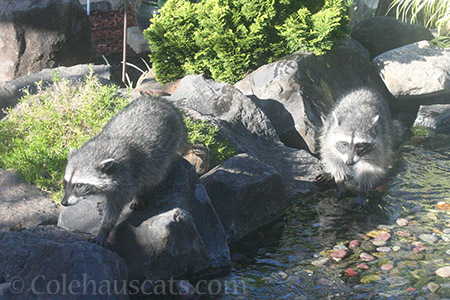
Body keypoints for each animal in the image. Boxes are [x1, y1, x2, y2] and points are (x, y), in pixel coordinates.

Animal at [60, 94, 187, 246]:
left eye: (79, 185)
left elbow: (114, 208)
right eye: (65, 182)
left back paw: (141, 193)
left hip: (168, 145)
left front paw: (104, 229)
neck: (103, 148)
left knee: (154, 174)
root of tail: (162, 101)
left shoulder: (127, 177)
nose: (63, 203)